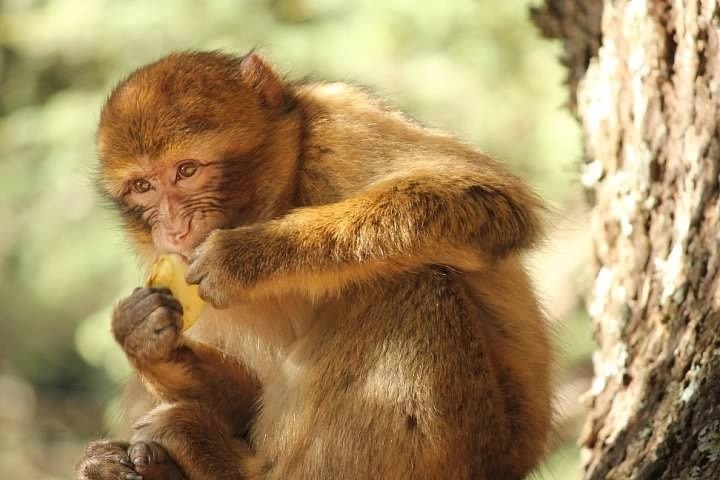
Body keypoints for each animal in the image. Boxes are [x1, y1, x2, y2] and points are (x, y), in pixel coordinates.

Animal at [77, 49, 552, 480]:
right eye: (143, 187)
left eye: (187, 170)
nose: (174, 229)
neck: (285, 191)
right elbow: (248, 399)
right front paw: (142, 336)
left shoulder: (343, 124)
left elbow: (490, 200)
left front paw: (247, 256)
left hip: (474, 448)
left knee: (408, 282)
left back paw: (220, 463)